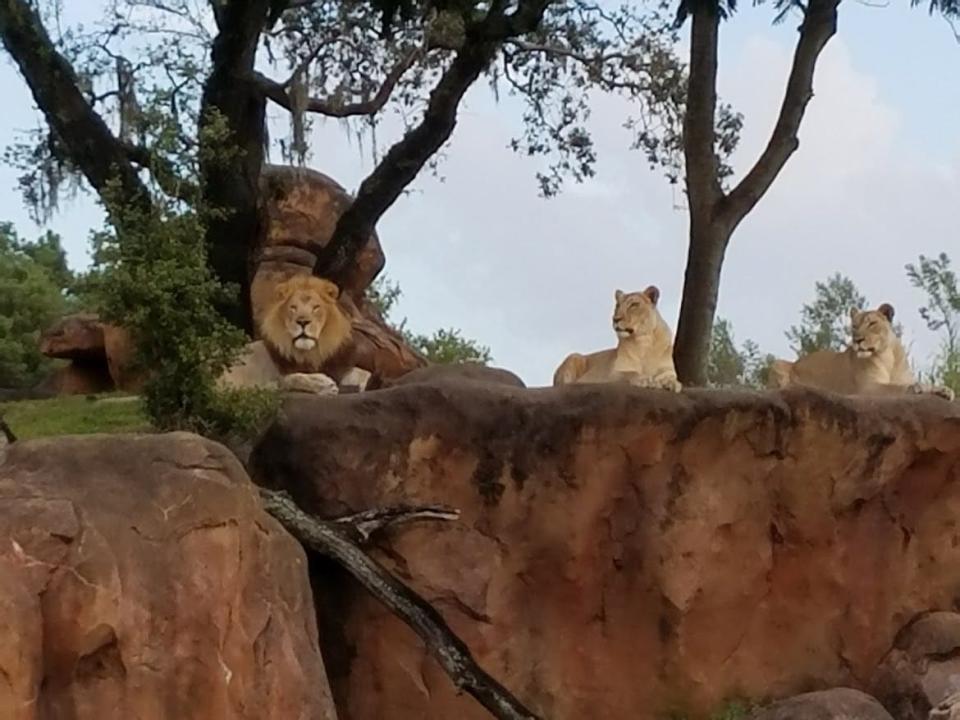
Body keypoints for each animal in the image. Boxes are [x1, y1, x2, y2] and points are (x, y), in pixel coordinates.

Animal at [552, 284, 680, 390]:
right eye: (618, 305)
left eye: (634, 305)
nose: (615, 319)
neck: (643, 340)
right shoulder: (613, 373)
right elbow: (630, 373)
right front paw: (644, 379)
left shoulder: (668, 370)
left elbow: (671, 377)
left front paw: (673, 384)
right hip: (574, 356)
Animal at [768, 300, 956, 400]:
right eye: (854, 326)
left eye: (872, 323)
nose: (857, 340)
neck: (888, 356)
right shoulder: (868, 389)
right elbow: (898, 388)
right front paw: (919, 388)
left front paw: (945, 390)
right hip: (777, 363)